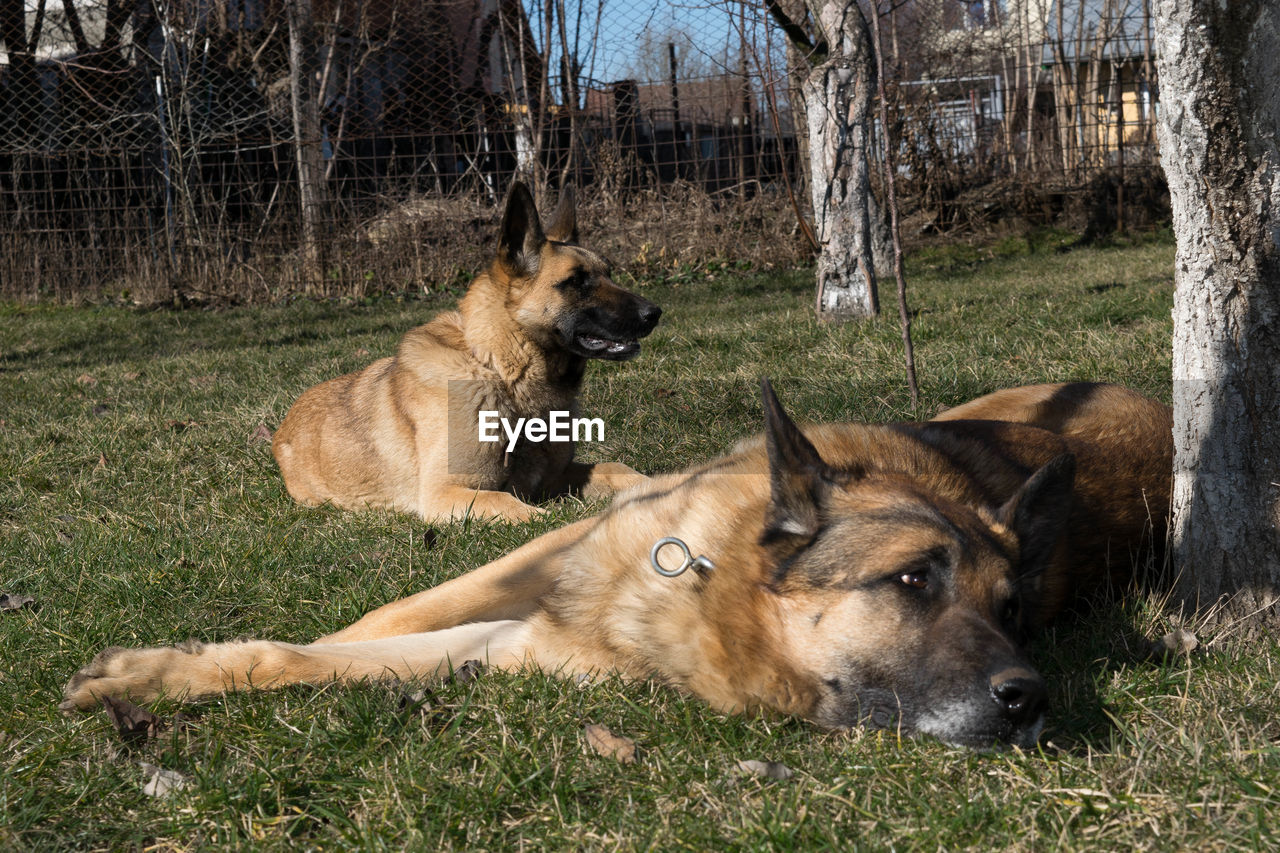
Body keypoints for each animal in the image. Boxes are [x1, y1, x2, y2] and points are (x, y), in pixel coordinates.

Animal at [64, 379, 1172, 742]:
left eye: (1016, 611)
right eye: (911, 580)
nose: (1030, 700)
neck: (713, 585)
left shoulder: (521, 647)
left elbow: (331, 660)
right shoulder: (539, 554)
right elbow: (363, 625)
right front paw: (164, 667)